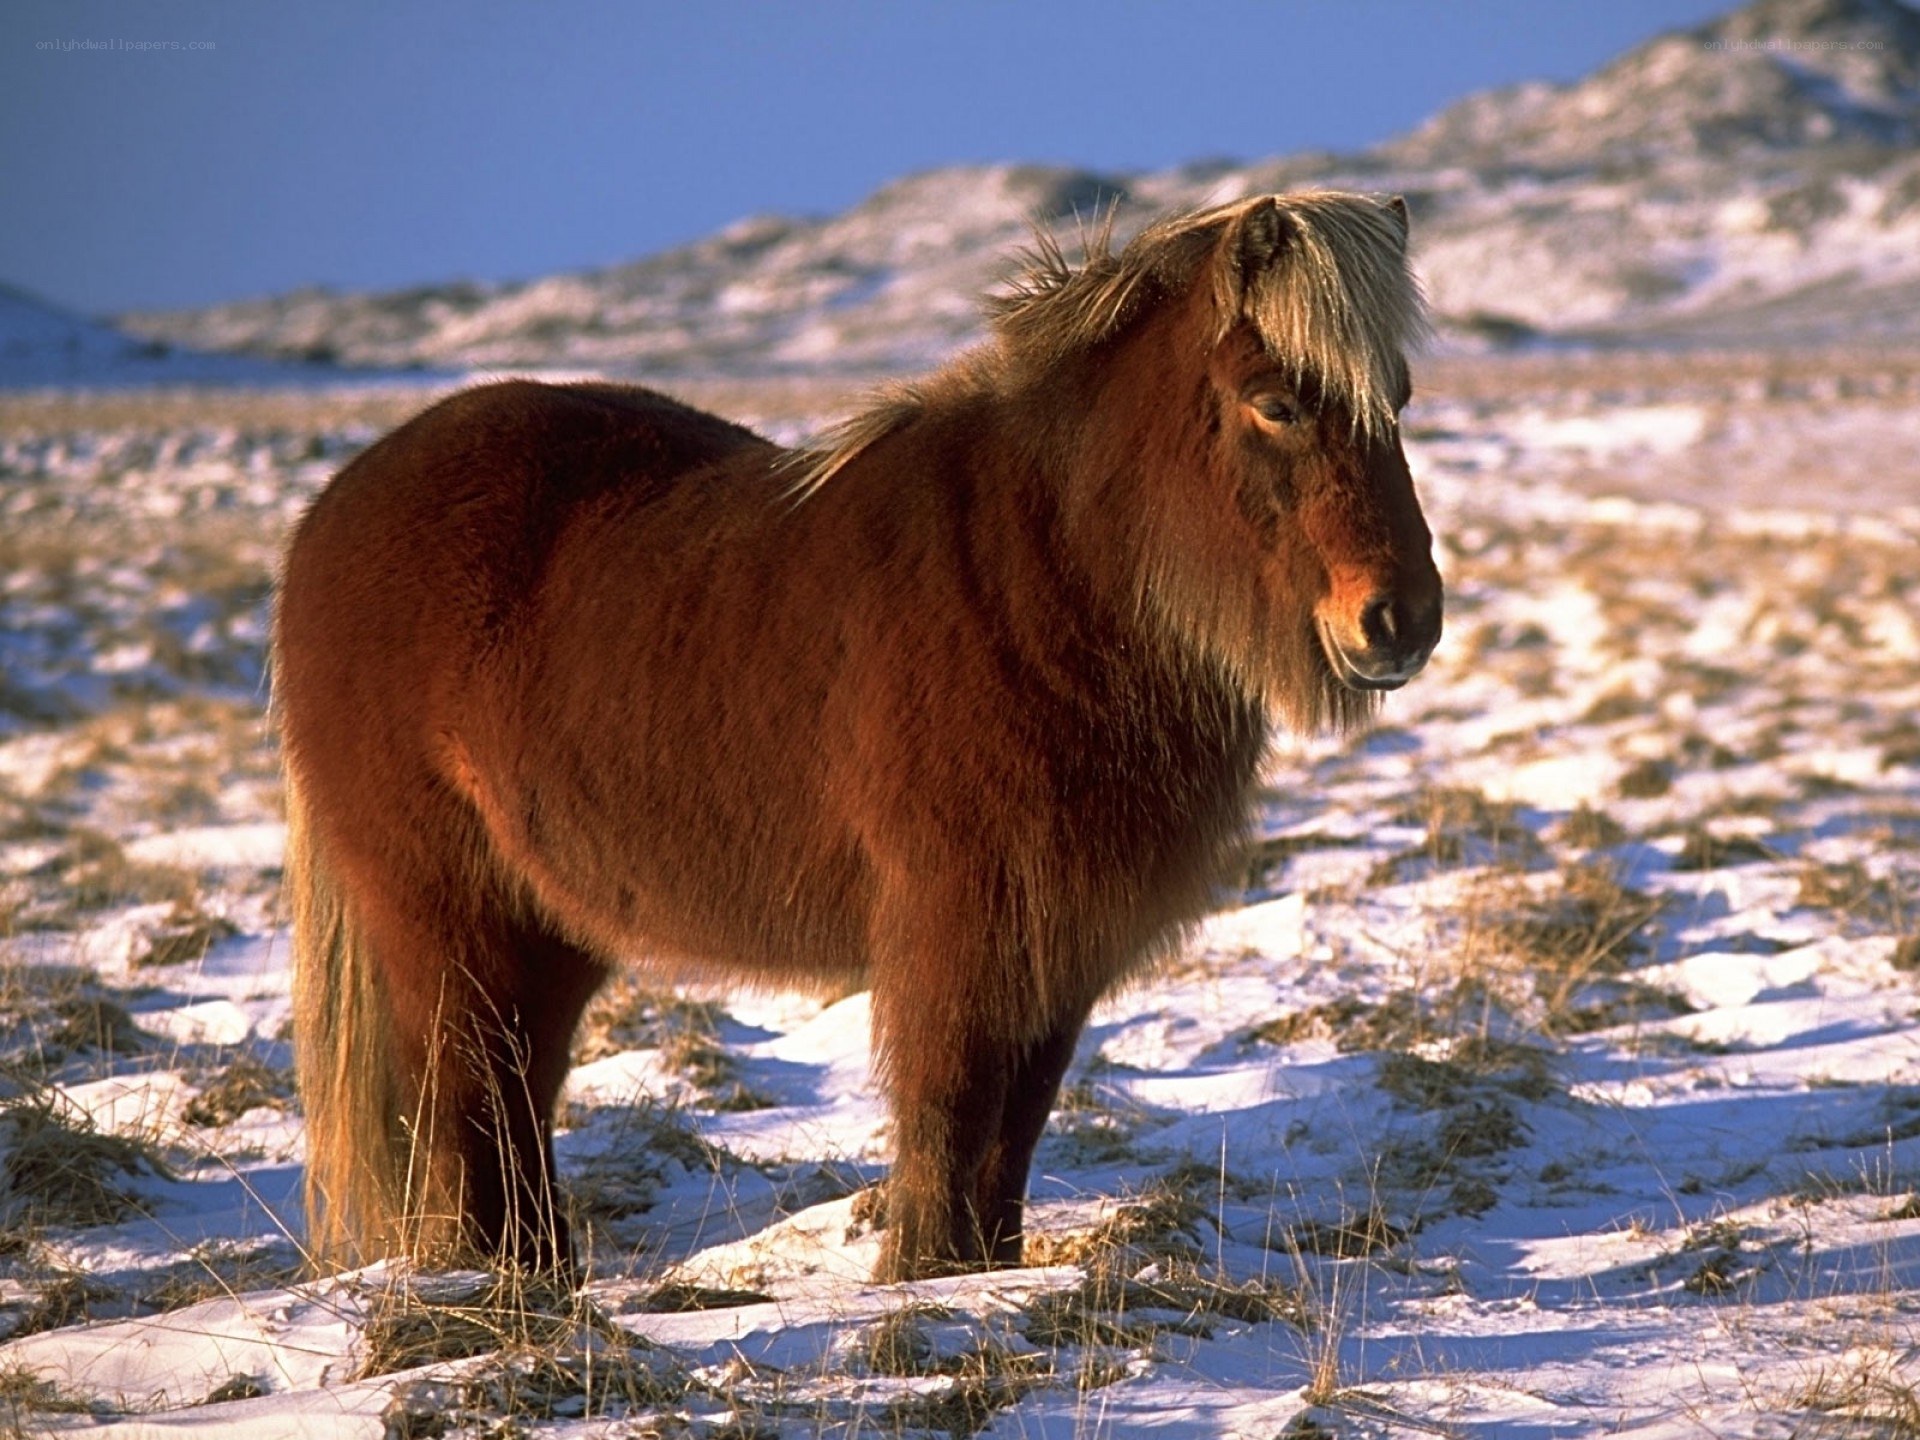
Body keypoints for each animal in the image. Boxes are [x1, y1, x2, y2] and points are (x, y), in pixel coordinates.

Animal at [275, 190, 1442, 1283]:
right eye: (1277, 402)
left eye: (1397, 399)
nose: (1402, 621)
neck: (1046, 576)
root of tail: (335, 505)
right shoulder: (958, 928)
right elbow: (949, 1106)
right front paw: (921, 1278)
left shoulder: (1058, 942)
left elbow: (1012, 1128)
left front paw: (981, 1273)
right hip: (445, 912)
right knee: (468, 1091)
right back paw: (498, 1281)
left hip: (547, 922)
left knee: (517, 1088)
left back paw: (541, 1271)